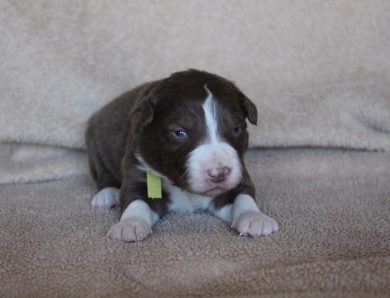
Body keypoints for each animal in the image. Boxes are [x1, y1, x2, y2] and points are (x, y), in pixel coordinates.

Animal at [85, 69, 278, 242]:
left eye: (236, 129)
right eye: (180, 132)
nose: (219, 173)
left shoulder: (239, 173)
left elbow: (243, 194)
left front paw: (254, 217)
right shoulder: (137, 164)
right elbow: (136, 199)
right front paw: (130, 225)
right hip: (95, 144)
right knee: (104, 175)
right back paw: (107, 195)